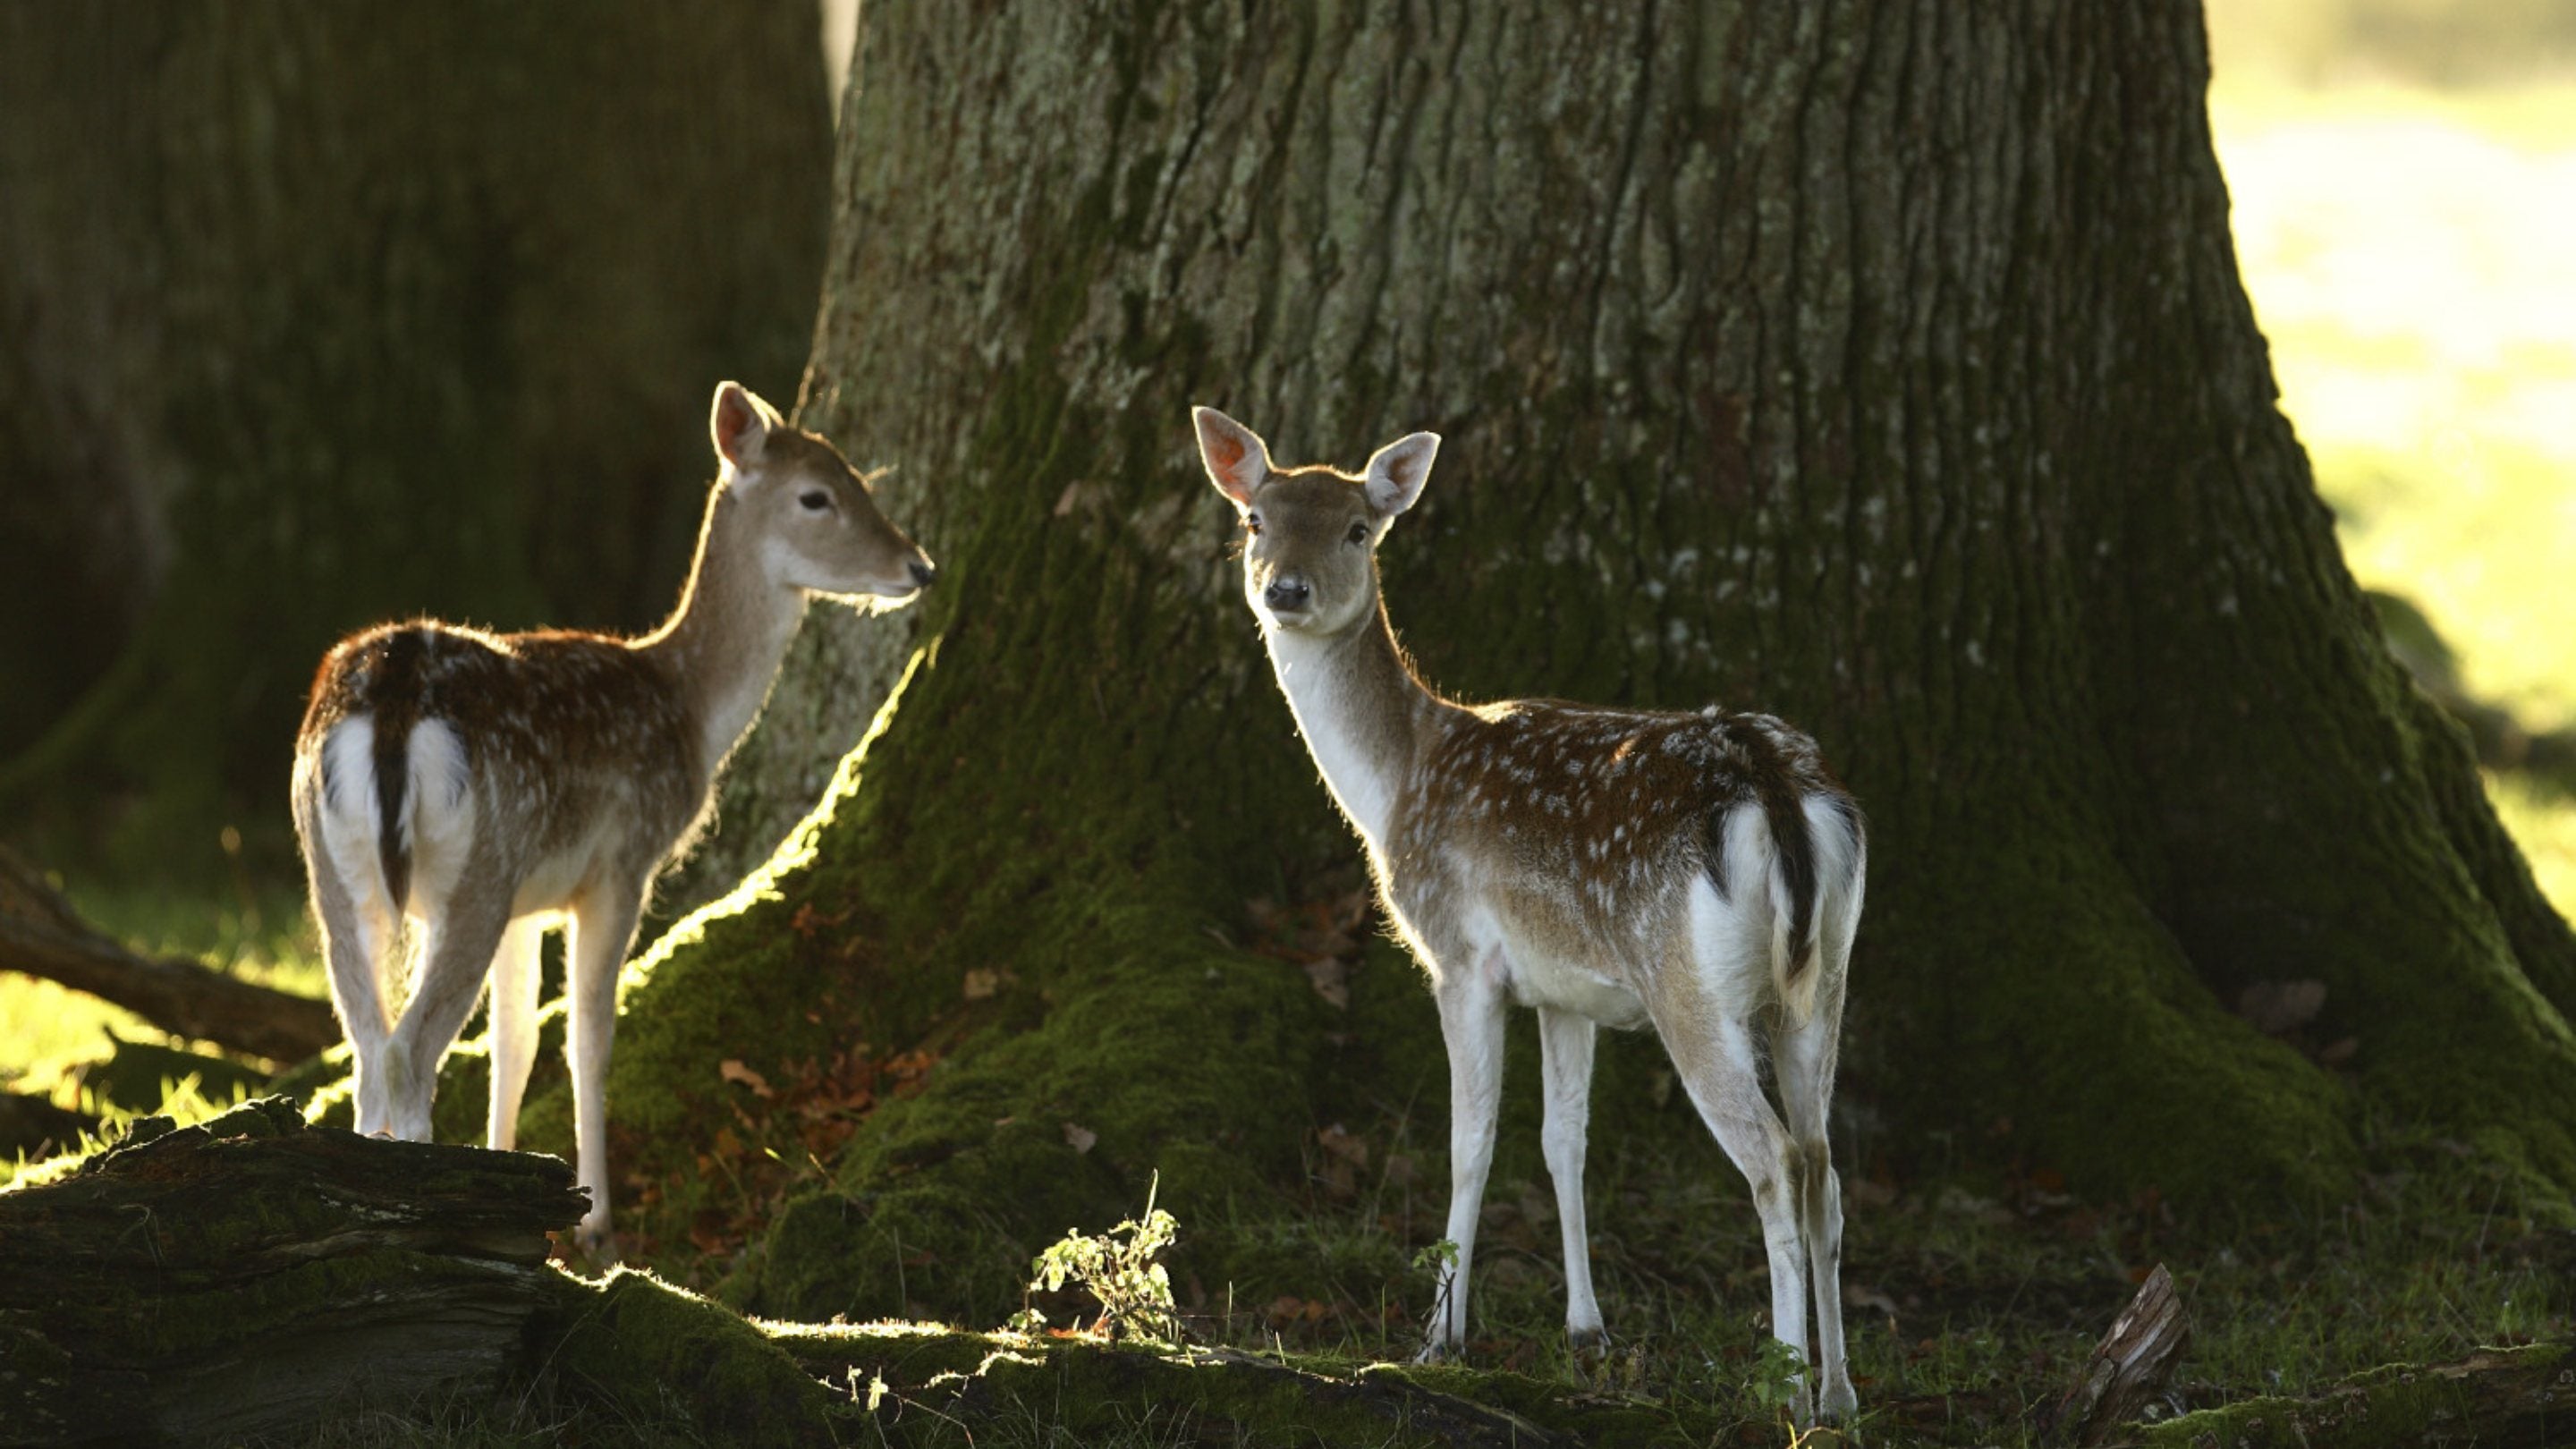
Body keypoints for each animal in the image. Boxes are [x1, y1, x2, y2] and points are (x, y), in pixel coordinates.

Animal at [291, 381, 934, 1257]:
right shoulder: (621, 866)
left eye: (858, 477)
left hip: (338, 866)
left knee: (366, 1049)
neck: (687, 706)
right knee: (408, 1054)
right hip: (478, 868)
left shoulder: (528, 901)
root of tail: (389, 698)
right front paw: (595, 1223)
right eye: (817, 496)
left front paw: (512, 1181)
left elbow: (515, 1043)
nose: (919, 565)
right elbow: (589, 1040)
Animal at [1192, 407, 1866, 1423]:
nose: (1288, 590)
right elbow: (1563, 1143)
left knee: (1777, 1164)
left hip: (1690, 990)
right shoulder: (1565, 990)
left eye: (1358, 529)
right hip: (1823, 981)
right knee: (1826, 1167)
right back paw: (1840, 1396)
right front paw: (1586, 1330)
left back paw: (1781, 1391)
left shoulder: (1461, 957)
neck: (1398, 783)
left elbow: (1470, 1144)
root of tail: (1774, 785)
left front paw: (1439, 1337)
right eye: (1257, 521)